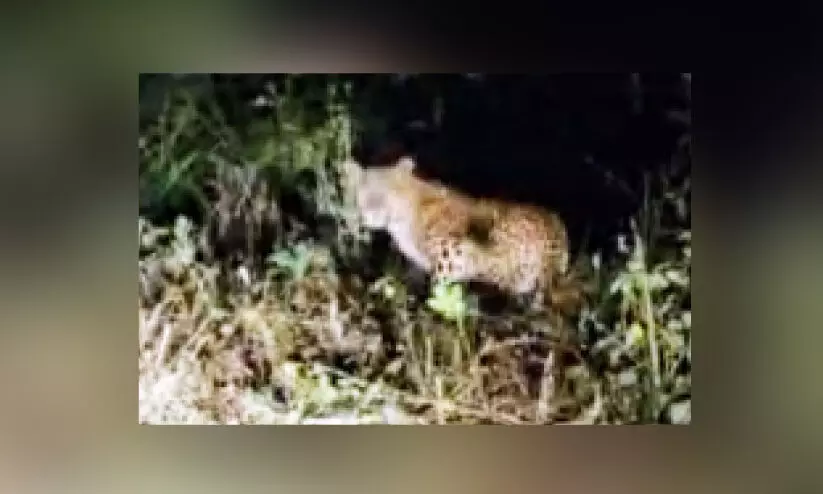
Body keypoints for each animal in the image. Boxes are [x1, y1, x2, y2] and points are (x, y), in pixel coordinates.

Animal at [344, 155, 580, 314]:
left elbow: (438, 288)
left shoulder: (453, 255)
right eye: (363, 193)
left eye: (386, 192)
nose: (370, 213)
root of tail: (559, 227)